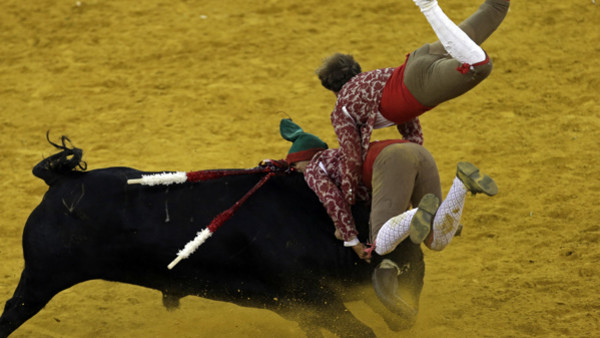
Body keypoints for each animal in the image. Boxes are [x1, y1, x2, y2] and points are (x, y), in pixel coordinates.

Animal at [0, 144, 424, 336]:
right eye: (407, 269)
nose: (406, 320)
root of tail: (59, 181)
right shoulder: (315, 297)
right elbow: (361, 331)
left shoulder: (302, 307)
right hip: (40, 279)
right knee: (11, 312)